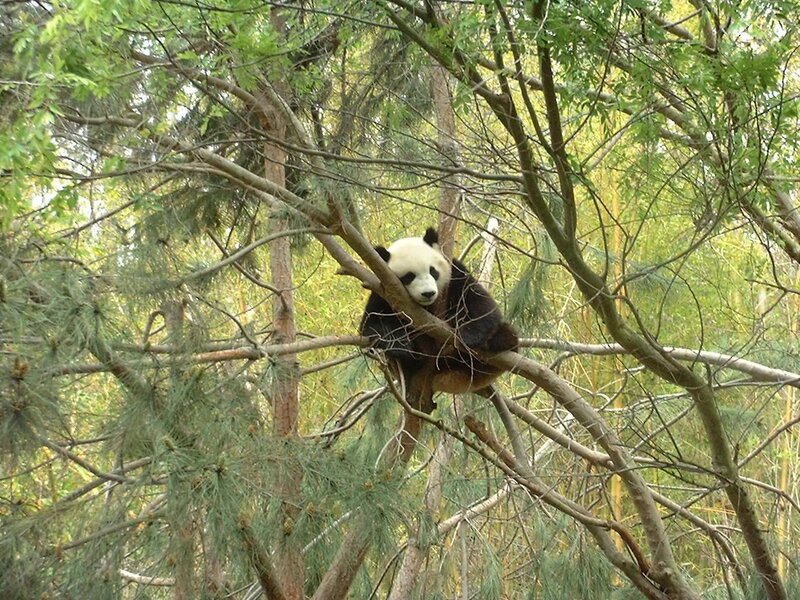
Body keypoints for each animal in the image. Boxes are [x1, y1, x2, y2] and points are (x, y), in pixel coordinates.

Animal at [360, 227, 518, 412]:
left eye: (433, 271)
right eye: (409, 276)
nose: (428, 293)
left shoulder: (454, 273)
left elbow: (478, 301)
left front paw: (468, 336)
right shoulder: (383, 289)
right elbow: (372, 323)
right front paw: (401, 344)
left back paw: (500, 339)